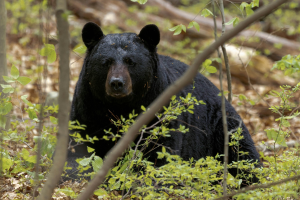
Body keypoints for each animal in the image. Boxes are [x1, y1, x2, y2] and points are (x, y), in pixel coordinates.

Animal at [66, 22, 260, 184]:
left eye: (131, 61)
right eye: (106, 62)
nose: (116, 83)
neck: (121, 107)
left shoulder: (160, 112)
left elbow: (161, 153)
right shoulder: (87, 108)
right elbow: (78, 149)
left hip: (221, 125)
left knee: (243, 153)